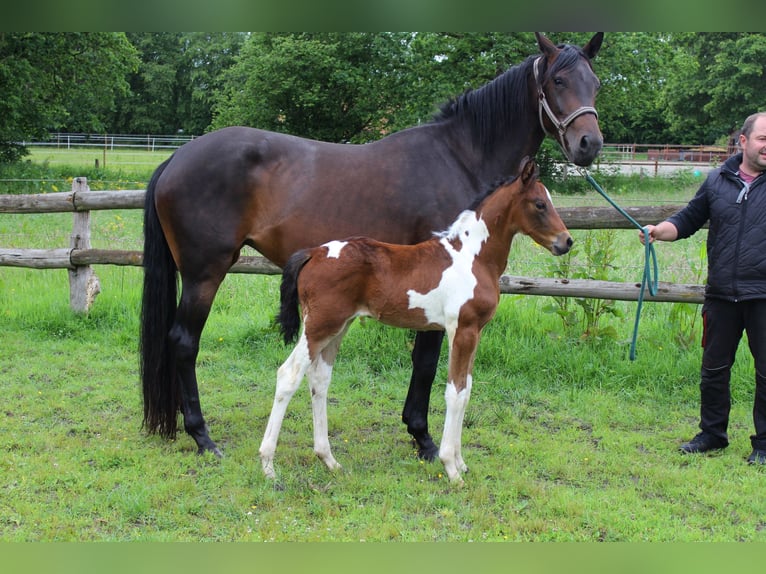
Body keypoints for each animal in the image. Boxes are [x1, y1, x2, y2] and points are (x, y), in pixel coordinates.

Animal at [259, 157, 570, 484]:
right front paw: (451, 468)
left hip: (338, 326)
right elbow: (455, 392)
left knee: (319, 379)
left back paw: (329, 460)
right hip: (319, 325)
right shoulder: (462, 330)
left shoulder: (476, 332)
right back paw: (268, 466)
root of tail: (314, 253)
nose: (567, 241)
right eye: (539, 204)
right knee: (289, 375)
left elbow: (467, 390)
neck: (472, 258)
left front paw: (461, 463)